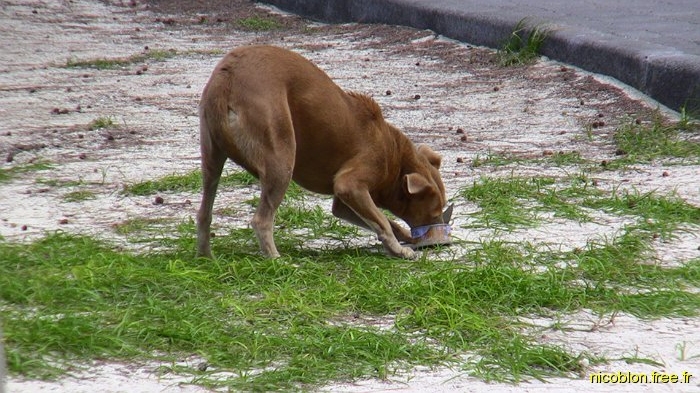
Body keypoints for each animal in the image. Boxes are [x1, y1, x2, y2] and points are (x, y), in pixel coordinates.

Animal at [197, 45, 448, 258]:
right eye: (435, 211)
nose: (437, 237)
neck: (395, 156)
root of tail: (227, 78)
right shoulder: (351, 183)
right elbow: (382, 221)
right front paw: (400, 250)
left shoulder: (344, 202)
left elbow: (382, 221)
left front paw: (403, 239)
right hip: (280, 154)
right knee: (261, 220)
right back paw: (277, 260)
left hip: (211, 157)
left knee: (204, 212)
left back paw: (206, 258)